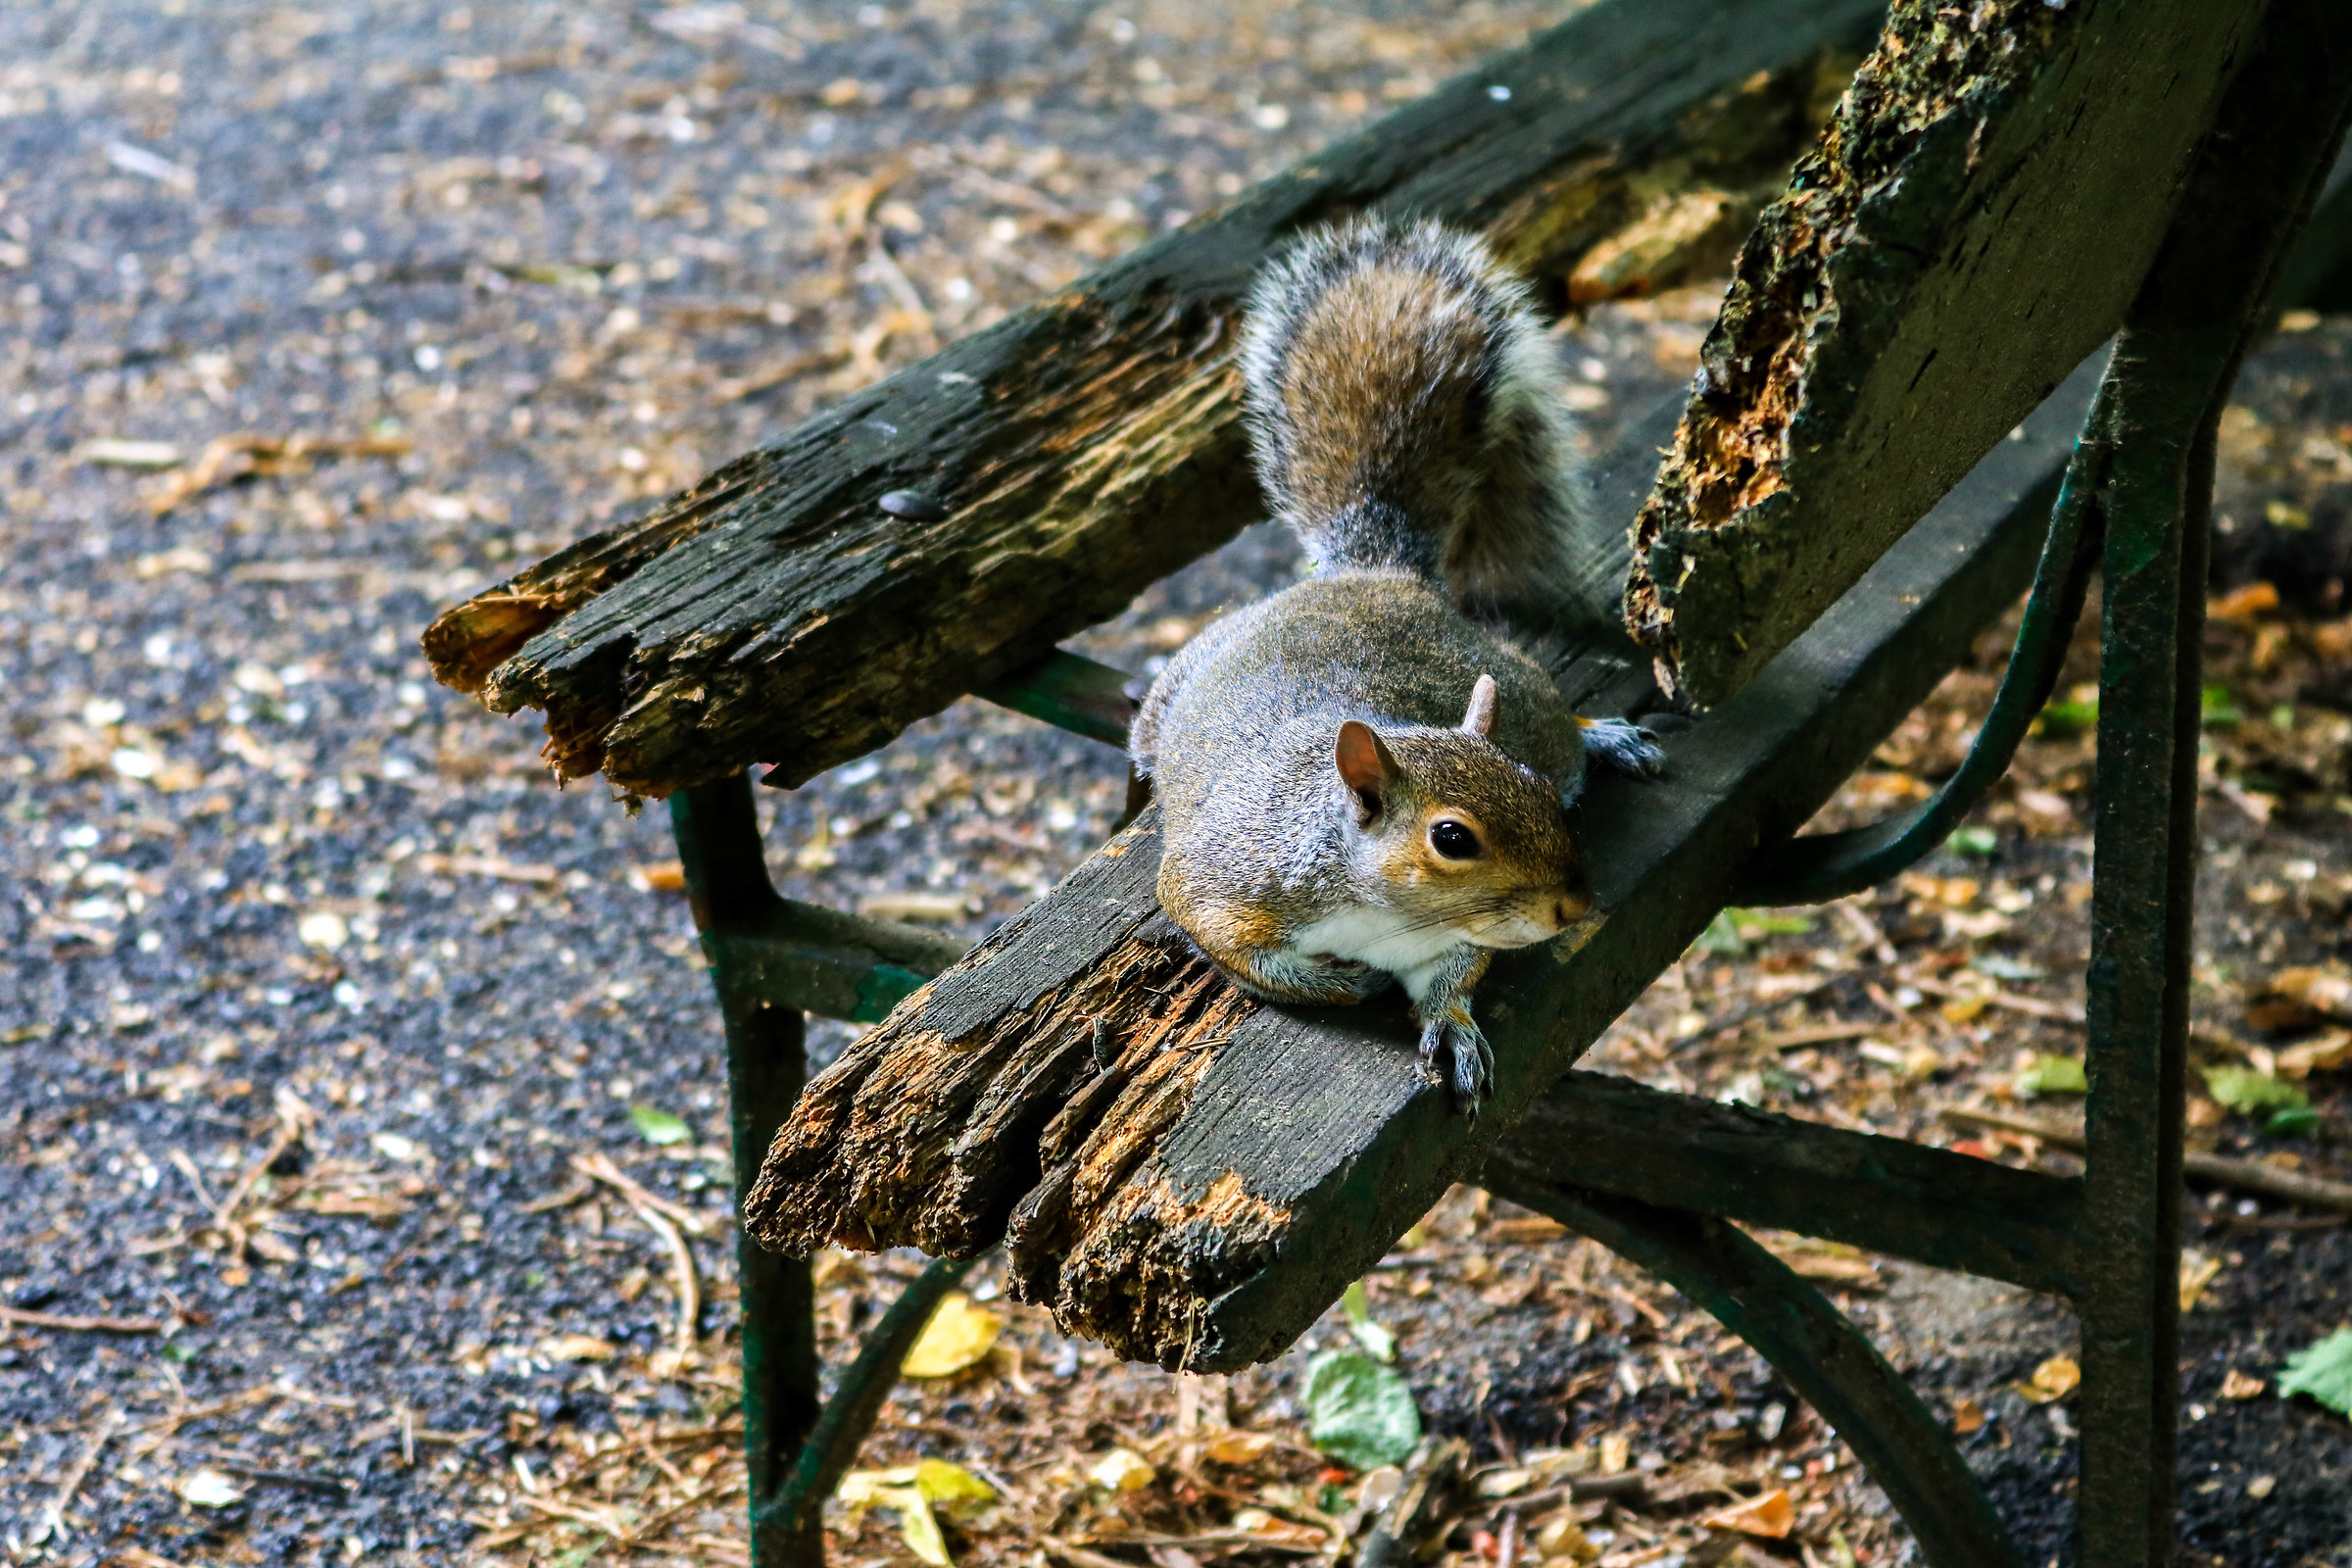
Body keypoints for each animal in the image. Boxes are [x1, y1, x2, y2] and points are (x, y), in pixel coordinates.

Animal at [1129, 217, 1663, 1114]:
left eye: (1529, 787)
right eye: (1451, 838)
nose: (1575, 905)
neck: (1375, 901)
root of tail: (1373, 572)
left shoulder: (1458, 935)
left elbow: (1455, 977)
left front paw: (1453, 1026)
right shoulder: (1219, 886)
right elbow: (1241, 952)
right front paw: (1342, 983)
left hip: (1526, 698)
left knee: (1564, 723)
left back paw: (1607, 736)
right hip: (1163, 702)